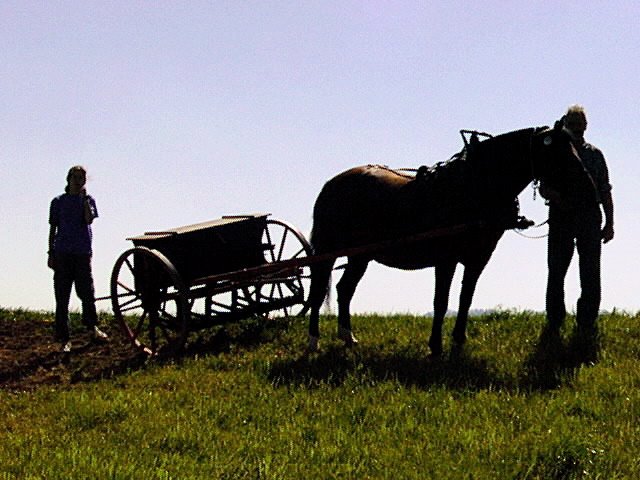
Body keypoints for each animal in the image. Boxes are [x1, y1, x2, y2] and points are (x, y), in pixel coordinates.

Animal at [308, 122, 592, 354]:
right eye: (558, 151)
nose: (588, 185)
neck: (474, 187)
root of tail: (332, 183)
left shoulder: (478, 259)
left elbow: (465, 299)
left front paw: (458, 341)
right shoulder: (446, 260)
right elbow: (441, 301)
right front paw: (436, 346)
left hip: (361, 255)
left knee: (344, 289)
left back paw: (347, 337)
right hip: (329, 250)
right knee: (318, 290)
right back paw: (313, 340)